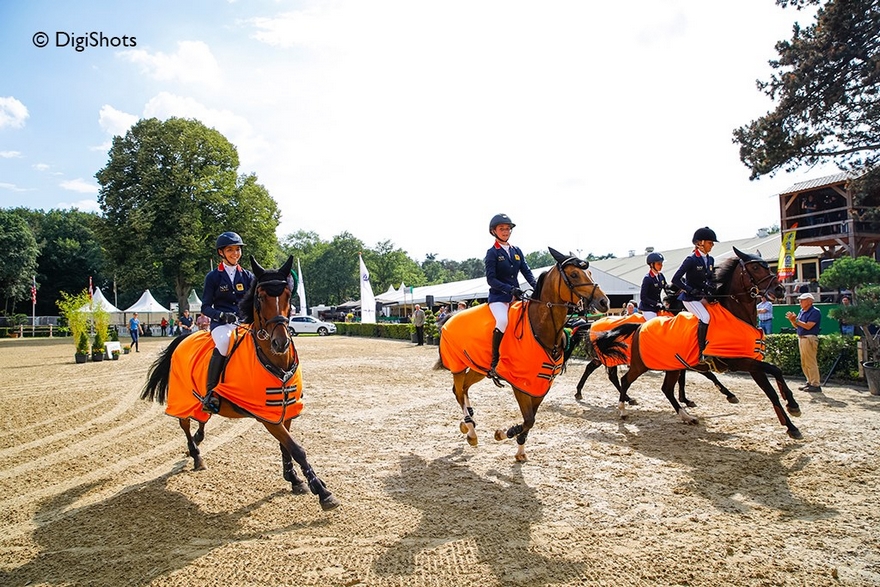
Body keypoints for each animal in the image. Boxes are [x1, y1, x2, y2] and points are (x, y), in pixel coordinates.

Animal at [143, 256, 338, 510]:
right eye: (260, 297)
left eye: (288, 295)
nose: (280, 343)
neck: (275, 361)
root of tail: (186, 336)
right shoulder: (268, 417)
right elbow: (296, 448)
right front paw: (322, 491)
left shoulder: (285, 411)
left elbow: (286, 447)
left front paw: (294, 479)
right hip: (182, 397)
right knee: (184, 423)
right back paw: (196, 455)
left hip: (201, 402)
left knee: (202, 419)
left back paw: (197, 441)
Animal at [434, 246, 612, 462]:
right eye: (574, 274)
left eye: (590, 273)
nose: (604, 302)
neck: (539, 327)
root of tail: (451, 316)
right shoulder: (520, 384)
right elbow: (528, 419)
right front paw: (504, 433)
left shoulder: (541, 384)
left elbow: (531, 420)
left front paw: (520, 450)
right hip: (458, 366)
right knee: (458, 392)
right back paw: (470, 429)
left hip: (478, 368)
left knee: (464, 389)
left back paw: (469, 424)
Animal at [592, 249, 804, 440]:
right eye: (755, 267)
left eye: (767, 265)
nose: (779, 289)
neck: (737, 316)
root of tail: (639, 327)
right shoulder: (738, 361)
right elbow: (774, 370)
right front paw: (792, 406)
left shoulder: (750, 362)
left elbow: (771, 390)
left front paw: (791, 422)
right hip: (639, 364)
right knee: (625, 380)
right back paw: (623, 410)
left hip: (669, 365)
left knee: (665, 389)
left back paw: (686, 416)